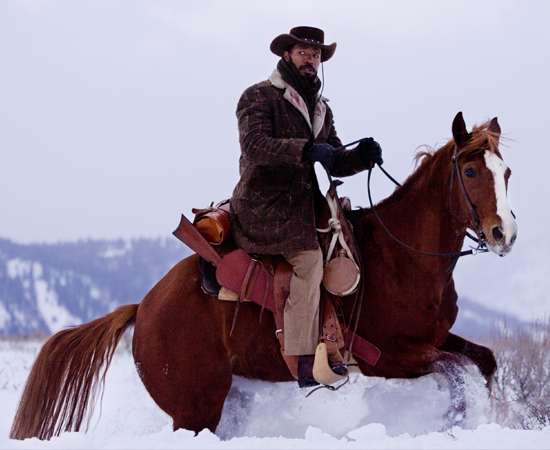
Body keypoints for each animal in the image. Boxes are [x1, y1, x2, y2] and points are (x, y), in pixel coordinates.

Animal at [8, 111, 520, 440]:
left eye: (507, 171)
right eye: (470, 171)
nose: (504, 233)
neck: (403, 256)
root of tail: (144, 307)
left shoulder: (434, 338)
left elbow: (483, 362)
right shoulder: (387, 356)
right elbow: (456, 371)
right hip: (195, 408)